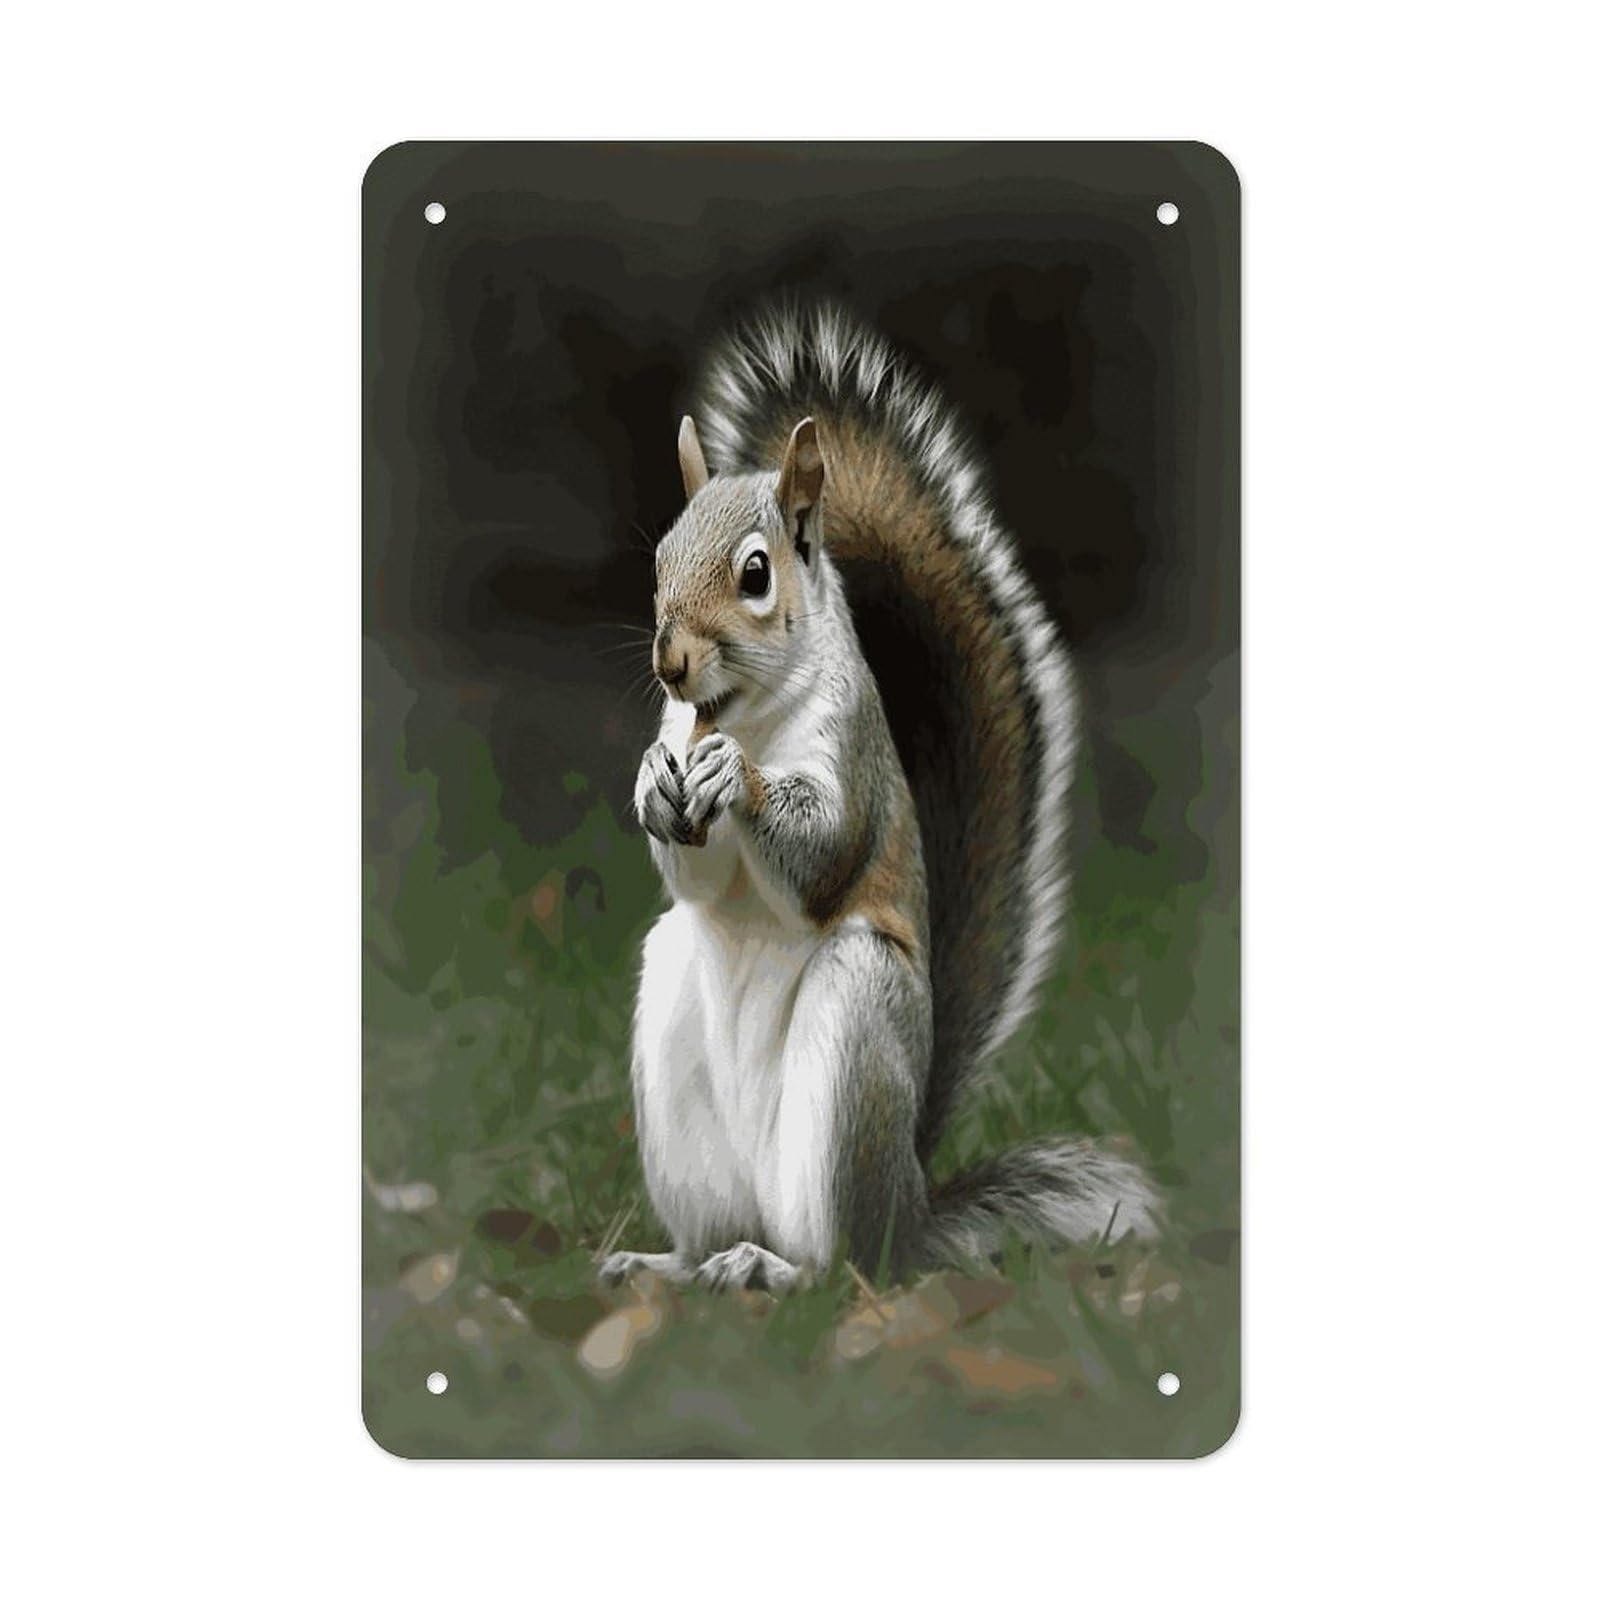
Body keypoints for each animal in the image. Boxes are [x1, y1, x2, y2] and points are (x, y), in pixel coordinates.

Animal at [598, 303, 1161, 1294]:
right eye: (660, 559)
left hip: (856, 1039)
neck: (746, 718)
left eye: (755, 574)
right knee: (713, 1234)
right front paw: (653, 781)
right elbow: (693, 875)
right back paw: (670, 1265)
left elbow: (826, 854)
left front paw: (736, 781)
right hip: (677, 1048)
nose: (671, 662)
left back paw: (777, 1271)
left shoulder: (851, 752)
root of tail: (909, 1208)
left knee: (843, 1266)